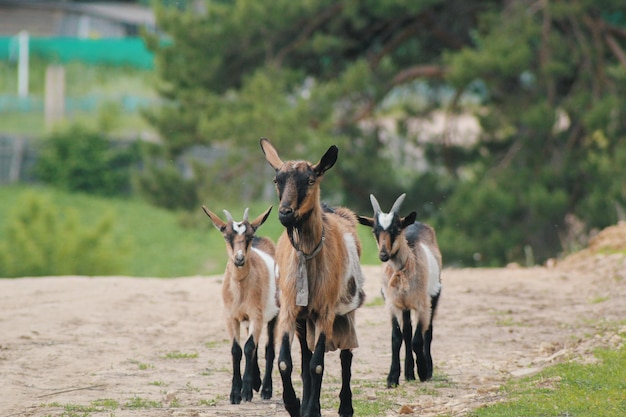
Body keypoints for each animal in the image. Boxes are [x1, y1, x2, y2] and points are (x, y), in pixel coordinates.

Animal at [201, 205, 276, 404]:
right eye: (227, 236)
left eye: (248, 236)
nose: (239, 259)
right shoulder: (231, 317)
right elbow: (237, 350)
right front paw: (235, 393)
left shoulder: (257, 314)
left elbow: (249, 348)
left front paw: (246, 392)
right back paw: (257, 382)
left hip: (275, 315)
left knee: (269, 349)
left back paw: (265, 389)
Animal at [260, 137, 366, 416]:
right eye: (277, 180)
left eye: (309, 180)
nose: (285, 213)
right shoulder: (289, 308)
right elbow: (287, 362)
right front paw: (295, 405)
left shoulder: (327, 311)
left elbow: (317, 365)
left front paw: (309, 409)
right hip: (304, 318)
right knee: (306, 356)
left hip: (345, 309)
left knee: (345, 355)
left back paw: (345, 407)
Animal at [358, 194, 442, 386]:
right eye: (375, 231)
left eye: (396, 229)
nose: (383, 254)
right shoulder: (393, 304)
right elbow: (397, 337)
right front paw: (392, 378)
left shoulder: (422, 304)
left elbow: (418, 339)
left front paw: (423, 371)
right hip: (405, 306)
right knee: (407, 331)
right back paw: (409, 373)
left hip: (434, 296)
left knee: (428, 331)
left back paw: (427, 369)